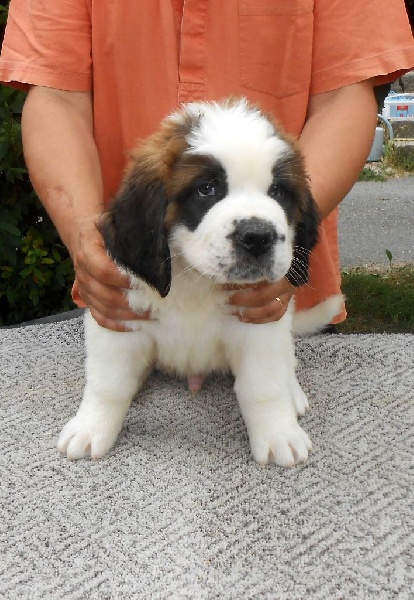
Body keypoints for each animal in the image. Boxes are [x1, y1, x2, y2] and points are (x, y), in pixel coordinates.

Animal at [58, 98, 342, 467]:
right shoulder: (118, 316)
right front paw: (91, 428)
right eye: (206, 189)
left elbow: (263, 386)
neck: (194, 279)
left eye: (278, 191)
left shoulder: (260, 321)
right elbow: (108, 384)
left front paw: (279, 434)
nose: (258, 237)